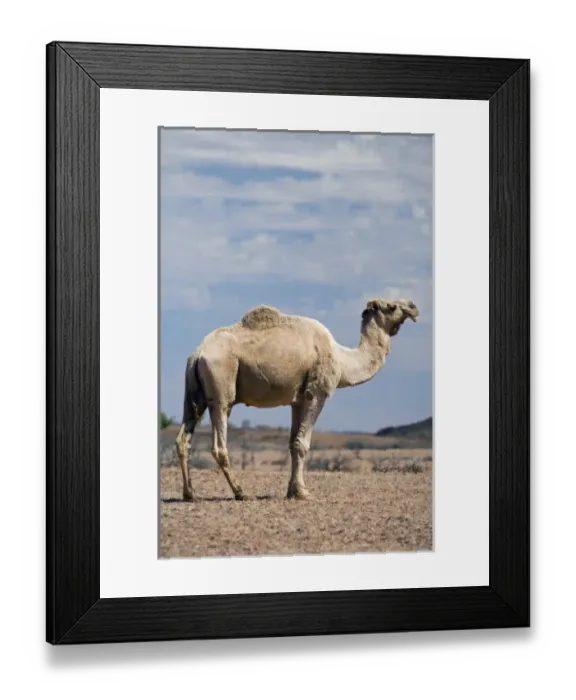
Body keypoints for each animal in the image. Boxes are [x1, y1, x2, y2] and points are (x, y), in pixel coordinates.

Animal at [175, 297, 419, 502]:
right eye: (391, 306)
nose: (414, 306)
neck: (342, 359)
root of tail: (197, 354)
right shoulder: (316, 393)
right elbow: (303, 444)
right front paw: (303, 492)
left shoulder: (297, 400)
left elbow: (293, 443)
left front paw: (292, 490)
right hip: (221, 386)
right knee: (219, 444)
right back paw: (241, 493)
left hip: (192, 394)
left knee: (183, 438)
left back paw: (190, 494)